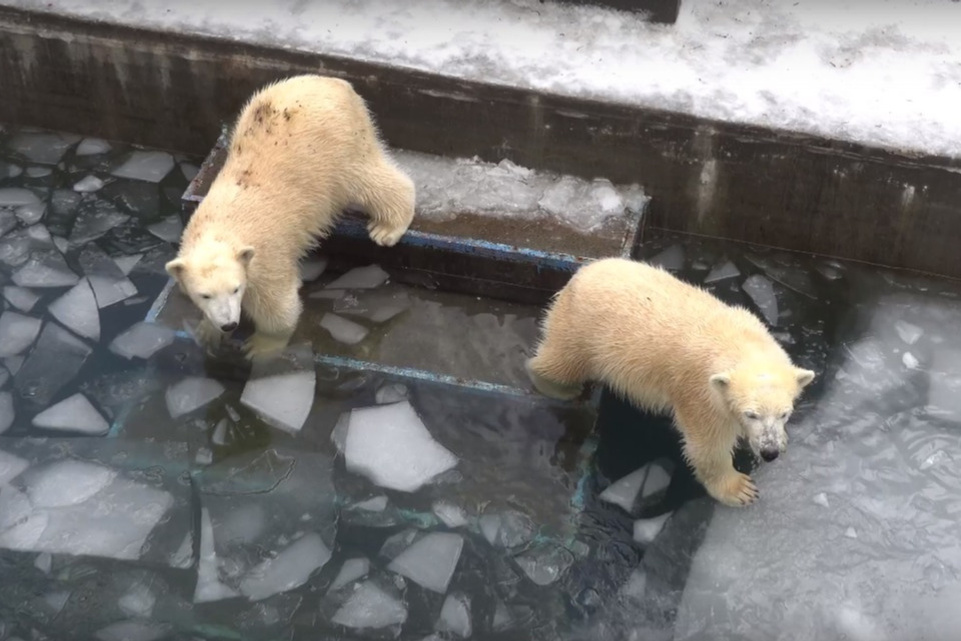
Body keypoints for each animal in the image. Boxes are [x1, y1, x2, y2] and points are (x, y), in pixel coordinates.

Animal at [165, 74, 412, 358]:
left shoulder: (267, 258)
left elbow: (279, 308)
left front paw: (259, 346)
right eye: (204, 295)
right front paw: (209, 333)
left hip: (337, 148)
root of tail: (336, 83)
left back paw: (387, 228)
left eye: (236, 288)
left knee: (367, 179)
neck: (221, 226)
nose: (228, 324)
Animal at [528, 258, 812, 508]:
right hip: (583, 330)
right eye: (750, 414)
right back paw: (558, 385)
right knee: (561, 362)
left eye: (785, 413)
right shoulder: (700, 394)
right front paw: (739, 489)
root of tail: (583, 272)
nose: (769, 452)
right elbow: (707, 446)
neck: (739, 342)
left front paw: (780, 441)